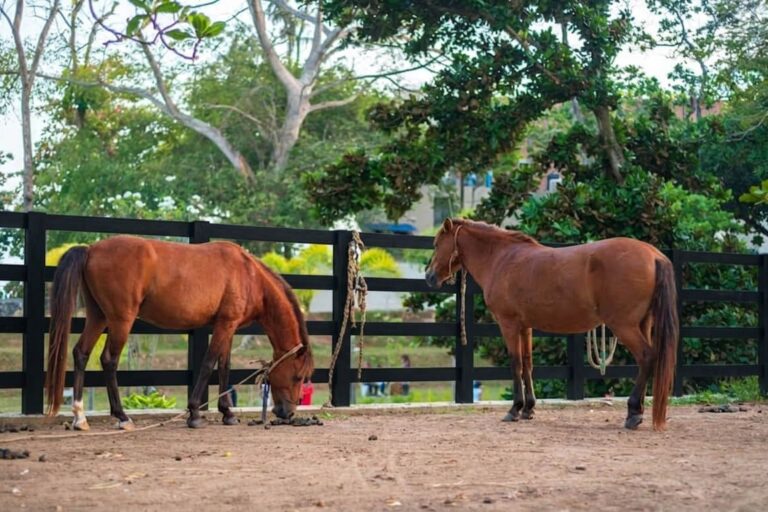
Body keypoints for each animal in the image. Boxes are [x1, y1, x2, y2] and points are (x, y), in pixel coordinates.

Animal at [46, 235, 314, 430]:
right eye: (297, 376)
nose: (288, 412)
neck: (249, 275)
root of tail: (91, 249)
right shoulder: (225, 325)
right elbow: (208, 364)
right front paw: (194, 413)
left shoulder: (228, 326)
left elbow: (224, 367)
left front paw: (227, 413)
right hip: (120, 320)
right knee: (108, 360)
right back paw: (122, 417)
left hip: (98, 316)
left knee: (81, 353)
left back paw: (80, 418)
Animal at [425, 219, 678, 431]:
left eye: (437, 244)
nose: (429, 277)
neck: (502, 258)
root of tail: (654, 255)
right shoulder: (525, 327)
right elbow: (528, 364)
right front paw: (528, 409)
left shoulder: (508, 324)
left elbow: (515, 364)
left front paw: (514, 409)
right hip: (642, 323)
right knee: (647, 361)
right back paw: (638, 411)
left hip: (624, 326)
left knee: (646, 356)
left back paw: (633, 413)